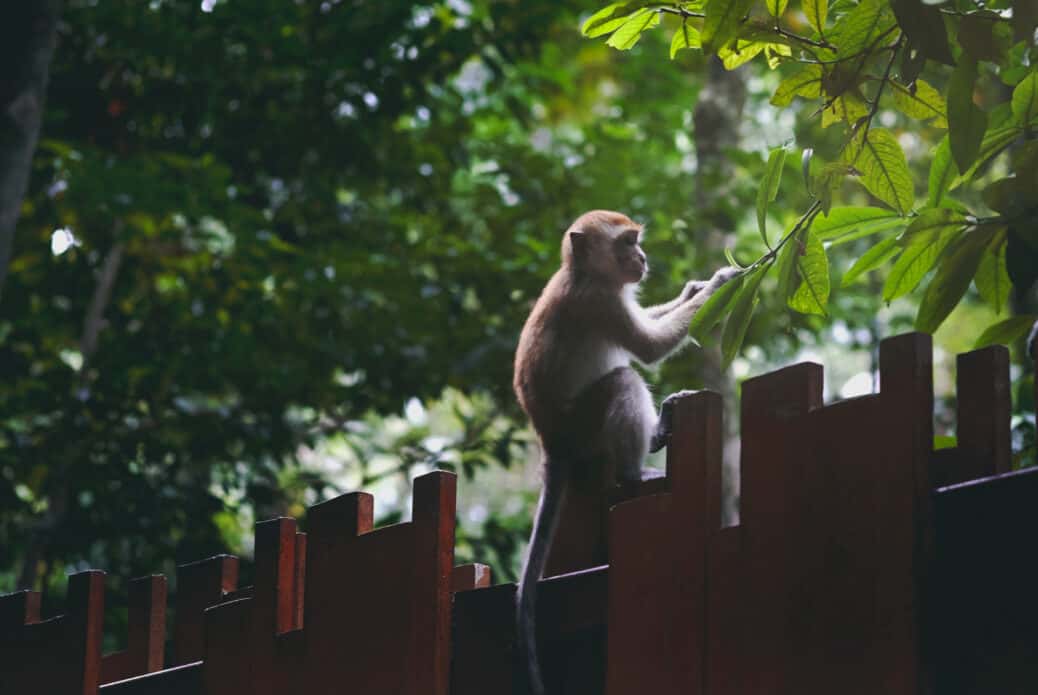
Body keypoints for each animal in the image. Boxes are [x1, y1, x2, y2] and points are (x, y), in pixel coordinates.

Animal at [512, 210, 740, 695]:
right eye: (627, 243)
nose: (642, 258)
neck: (583, 273)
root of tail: (549, 441)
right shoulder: (601, 302)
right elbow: (649, 349)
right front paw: (721, 283)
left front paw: (692, 290)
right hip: (582, 426)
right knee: (622, 380)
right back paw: (637, 470)